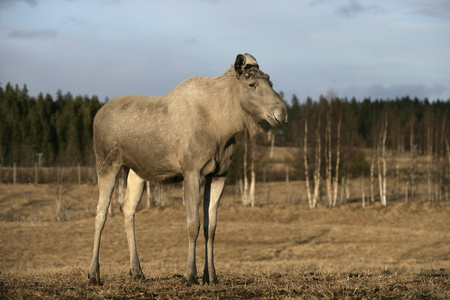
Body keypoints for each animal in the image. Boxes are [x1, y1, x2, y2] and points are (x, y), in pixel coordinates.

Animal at [88, 54, 288, 286]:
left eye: (270, 81)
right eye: (251, 84)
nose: (282, 112)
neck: (224, 128)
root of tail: (97, 116)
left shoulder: (219, 175)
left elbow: (211, 227)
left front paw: (211, 276)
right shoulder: (192, 171)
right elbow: (193, 224)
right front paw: (190, 275)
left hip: (137, 171)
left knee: (127, 209)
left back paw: (137, 271)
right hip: (106, 162)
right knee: (101, 213)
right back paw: (93, 274)